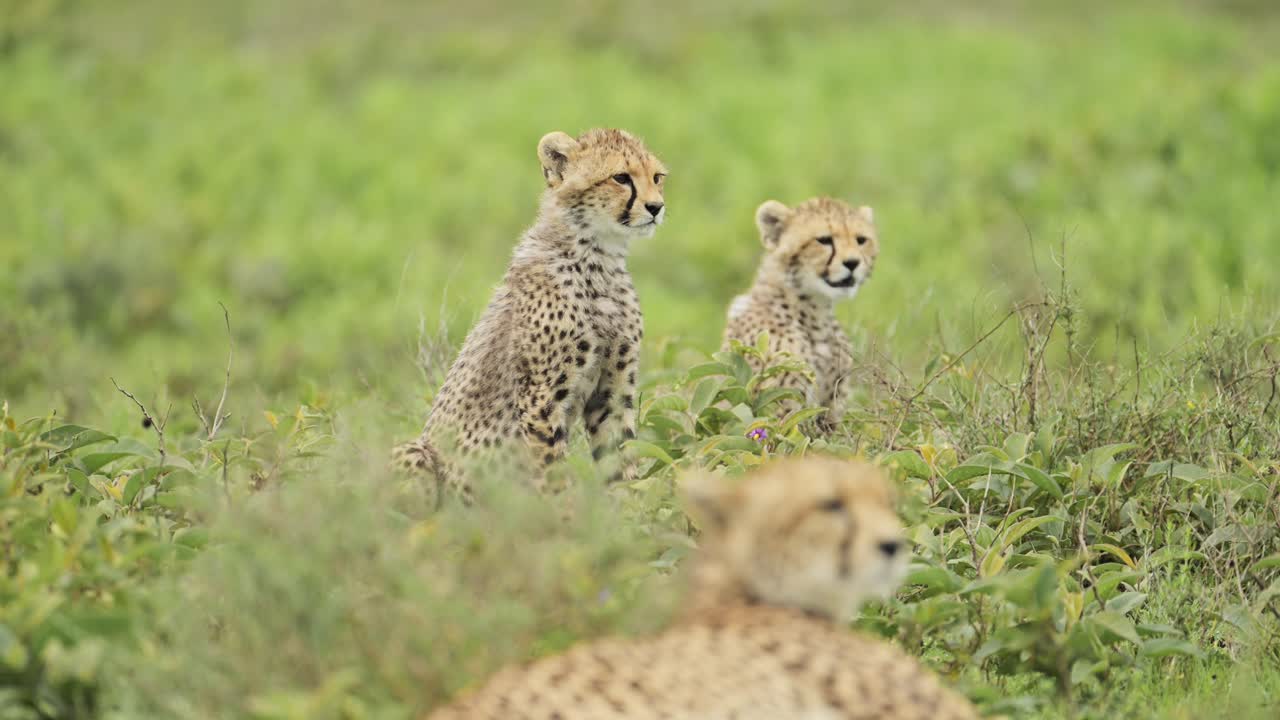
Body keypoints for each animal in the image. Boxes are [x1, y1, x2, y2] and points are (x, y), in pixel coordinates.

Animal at [393, 128, 668, 501]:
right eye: (621, 177)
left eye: (657, 177)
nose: (656, 207)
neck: (598, 258)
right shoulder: (540, 397)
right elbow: (554, 473)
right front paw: (567, 514)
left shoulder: (612, 388)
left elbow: (620, 457)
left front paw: (629, 508)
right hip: (414, 454)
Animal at [722, 197, 880, 431]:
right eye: (824, 240)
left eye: (861, 240)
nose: (853, 263)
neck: (815, 311)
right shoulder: (783, 403)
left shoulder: (832, 403)